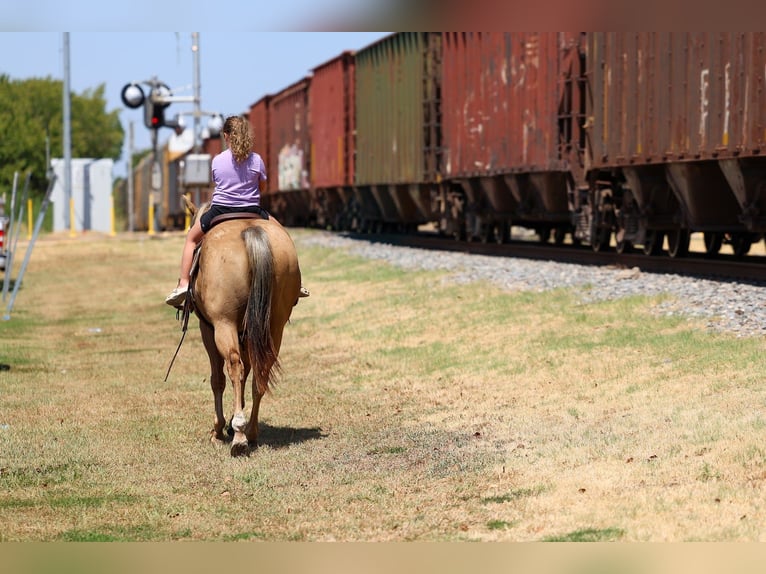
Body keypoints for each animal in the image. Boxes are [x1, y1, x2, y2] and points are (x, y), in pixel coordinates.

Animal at [185, 200, 302, 457]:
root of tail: (251, 231)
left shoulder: (207, 328)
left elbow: (218, 378)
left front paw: (219, 429)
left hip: (224, 324)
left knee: (234, 366)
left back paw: (239, 435)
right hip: (274, 324)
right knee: (261, 371)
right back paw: (251, 431)